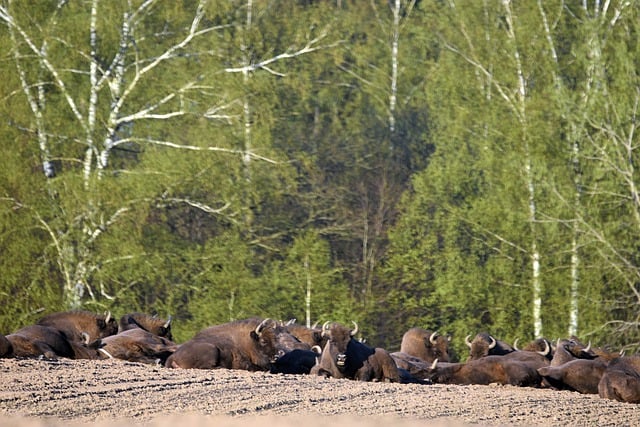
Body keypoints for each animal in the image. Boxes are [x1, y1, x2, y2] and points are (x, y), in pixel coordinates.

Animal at [166, 318, 304, 372]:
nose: (278, 355)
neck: (248, 342)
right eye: (263, 341)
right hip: (212, 349)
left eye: (275, 339)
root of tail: (172, 357)